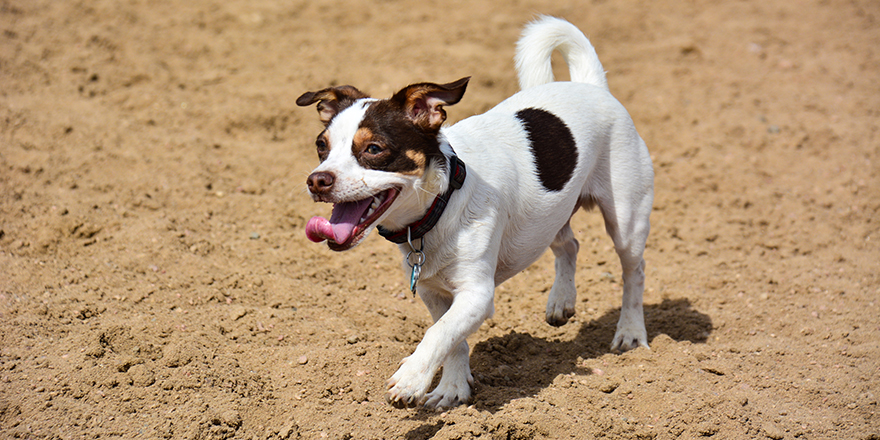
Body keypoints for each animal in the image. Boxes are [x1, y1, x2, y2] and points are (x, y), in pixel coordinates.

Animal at [300, 17, 648, 410]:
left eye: (374, 148)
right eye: (321, 146)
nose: (317, 180)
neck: (443, 202)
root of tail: (590, 85)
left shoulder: (477, 294)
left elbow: (438, 334)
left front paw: (411, 378)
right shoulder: (435, 293)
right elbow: (451, 338)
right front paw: (452, 388)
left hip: (627, 220)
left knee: (633, 272)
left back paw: (630, 332)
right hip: (550, 215)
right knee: (568, 245)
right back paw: (561, 300)